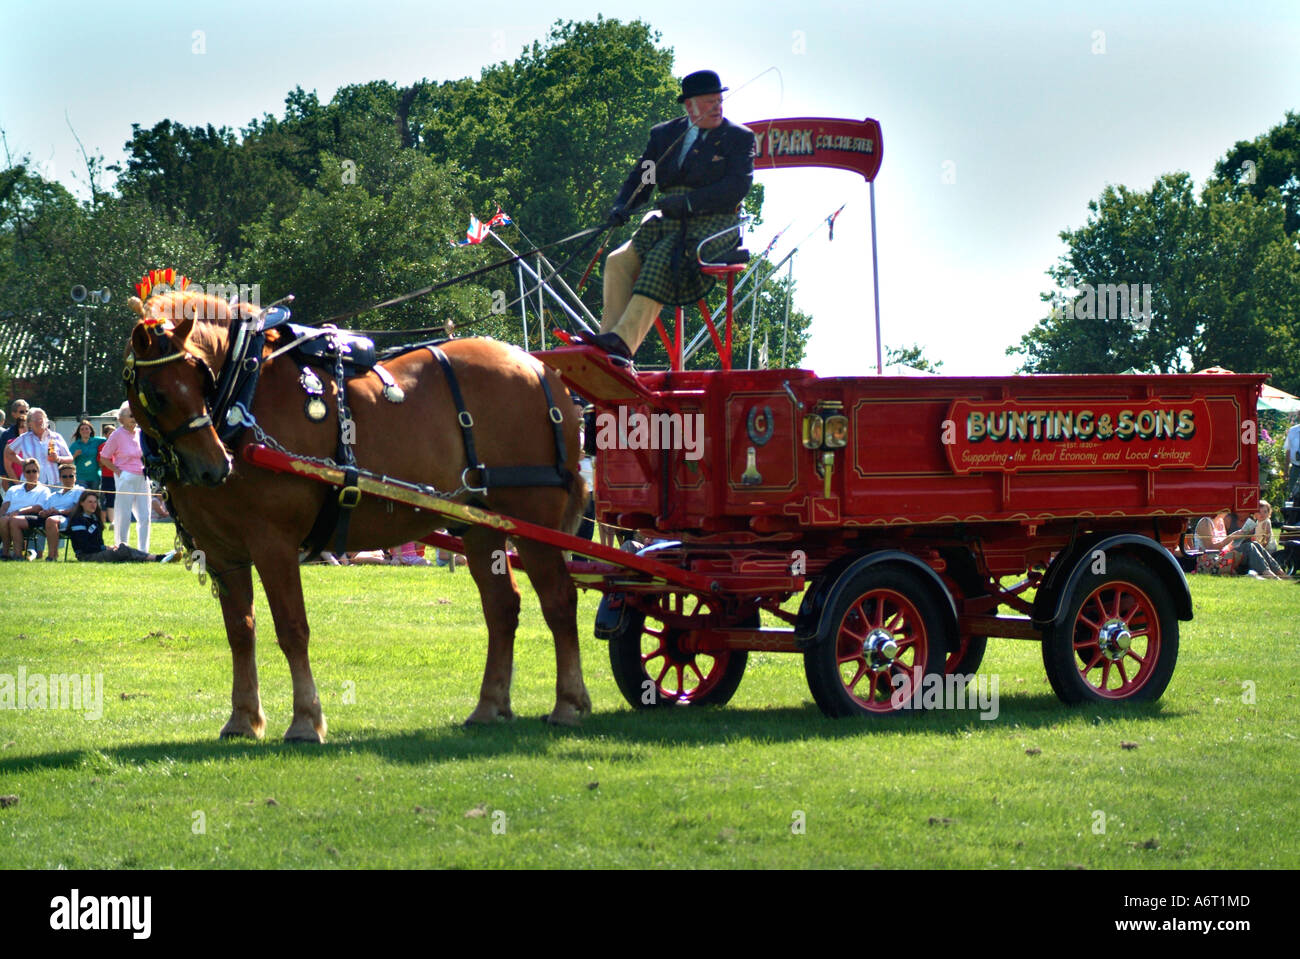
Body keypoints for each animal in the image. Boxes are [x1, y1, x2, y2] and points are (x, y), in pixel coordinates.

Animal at [124, 286, 591, 741]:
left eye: (201, 376)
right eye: (158, 394)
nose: (214, 467)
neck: (244, 386)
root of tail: (539, 368)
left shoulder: (274, 542)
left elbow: (292, 629)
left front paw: (305, 720)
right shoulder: (222, 551)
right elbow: (240, 631)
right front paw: (243, 719)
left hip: (533, 519)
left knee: (558, 599)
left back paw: (568, 703)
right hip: (480, 526)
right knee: (501, 607)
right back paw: (489, 706)